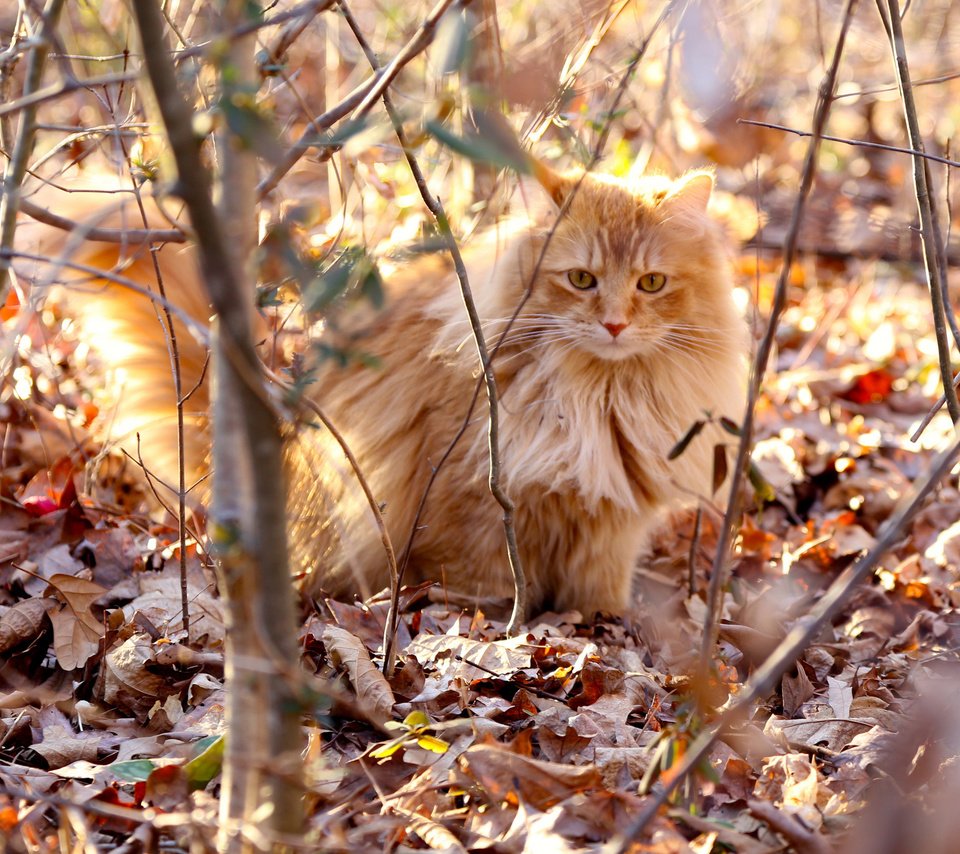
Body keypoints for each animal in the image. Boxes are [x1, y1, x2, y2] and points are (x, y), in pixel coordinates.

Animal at [18, 166, 748, 620]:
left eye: (651, 284)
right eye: (582, 280)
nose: (616, 323)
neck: (599, 392)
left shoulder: (610, 521)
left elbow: (599, 587)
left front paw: (600, 623)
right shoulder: (477, 501)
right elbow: (484, 580)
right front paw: (503, 623)